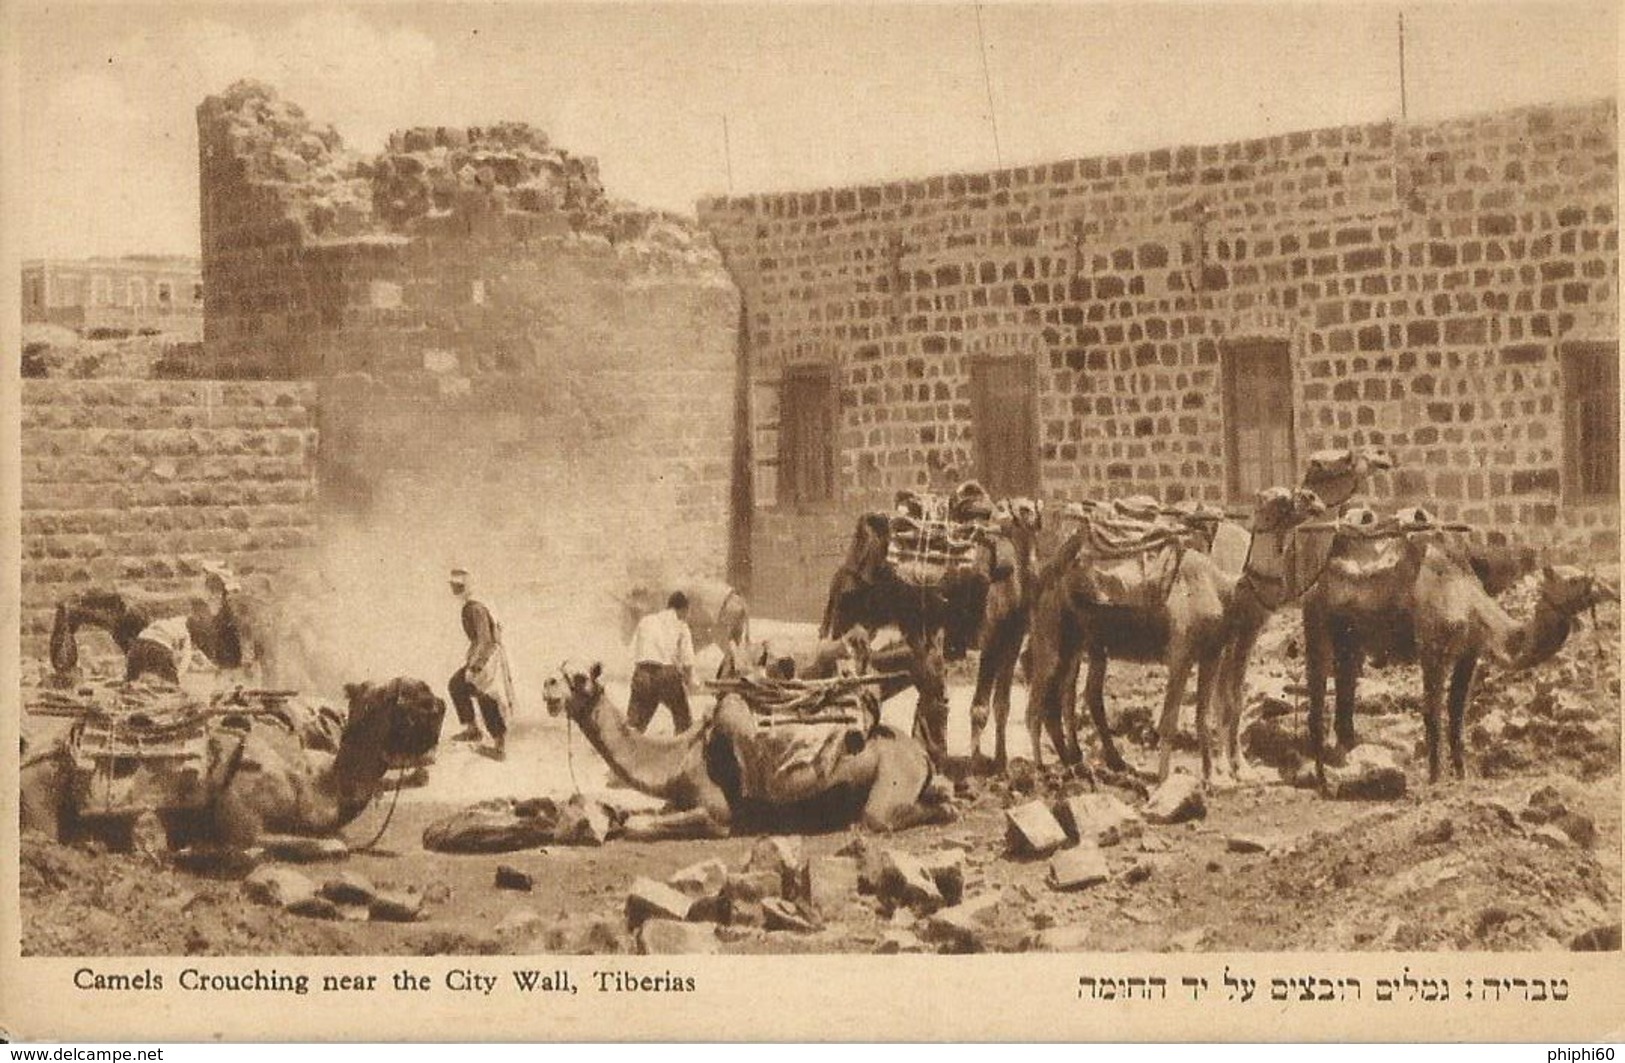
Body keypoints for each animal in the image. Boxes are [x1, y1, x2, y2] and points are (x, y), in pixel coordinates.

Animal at [25, 682, 445, 851]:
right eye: (400, 695)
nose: (437, 701)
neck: (316, 787)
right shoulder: (242, 821)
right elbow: (324, 845)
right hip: (38, 790)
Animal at [539, 656, 955, 838]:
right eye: (558, 671)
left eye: (579, 677)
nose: (548, 686)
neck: (678, 758)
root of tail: (919, 752)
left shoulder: (716, 812)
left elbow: (643, 825)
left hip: (893, 775)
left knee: (881, 816)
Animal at [1027, 490, 1332, 783]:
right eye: (1278, 498)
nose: (1313, 498)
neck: (1226, 591)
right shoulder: (1182, 651)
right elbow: (1174, 718)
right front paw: (1167, 777)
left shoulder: (1214, 652)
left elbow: (1211, 711)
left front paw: (1215, 775)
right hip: (1051, 633)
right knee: (1039, 703)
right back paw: (1044, 770)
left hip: (1083, 642)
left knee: (1072, 697)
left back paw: (1088, 763)